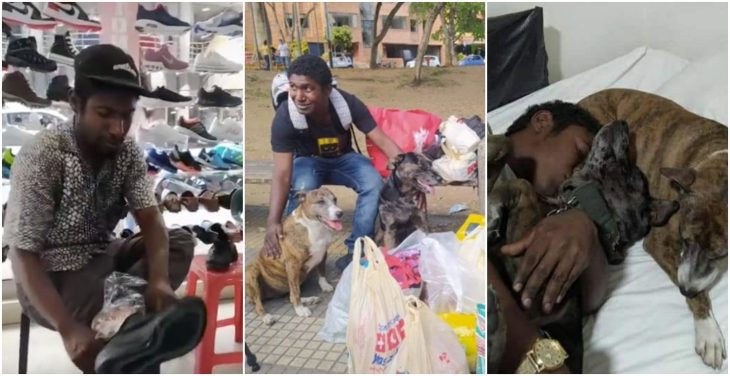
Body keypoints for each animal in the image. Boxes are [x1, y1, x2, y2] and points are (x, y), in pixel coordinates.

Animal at [246, 189, 342, 324]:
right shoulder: (293, 264)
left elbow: (321, 272)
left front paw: (324, 285)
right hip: (251, 273)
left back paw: (309, 299)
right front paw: (299, 309)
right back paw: (266, 316)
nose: (340, 213)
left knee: (289, 296)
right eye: (320, 202)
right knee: (259, 303)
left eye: (335, 199)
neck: (314, 227)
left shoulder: (323, 253)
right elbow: (296, 292)